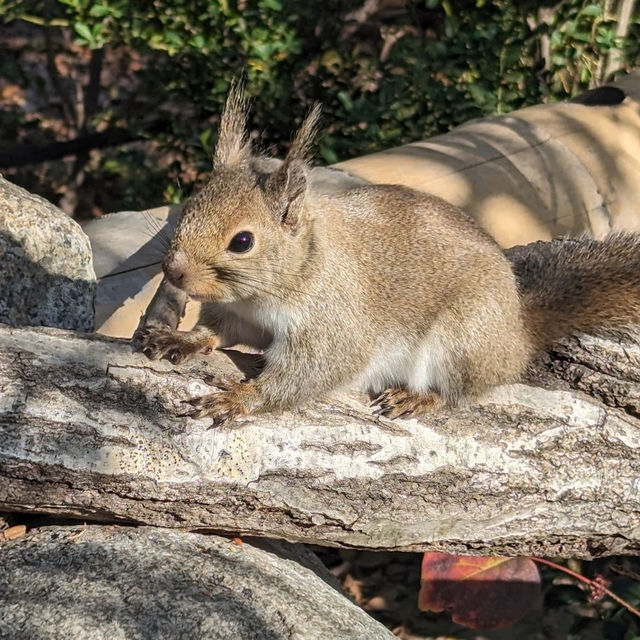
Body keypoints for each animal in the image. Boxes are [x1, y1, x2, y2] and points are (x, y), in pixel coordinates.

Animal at [135, 85, 640, 424]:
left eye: (242, 242)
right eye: (189, 207)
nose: (172, 271)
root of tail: (516, 334)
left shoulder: (334, 323)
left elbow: (312, 372)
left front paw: (240, 398)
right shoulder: (240, 314)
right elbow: (217, 330)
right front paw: (182, 338)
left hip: (462, 338)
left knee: (463, 391)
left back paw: (419, 397)